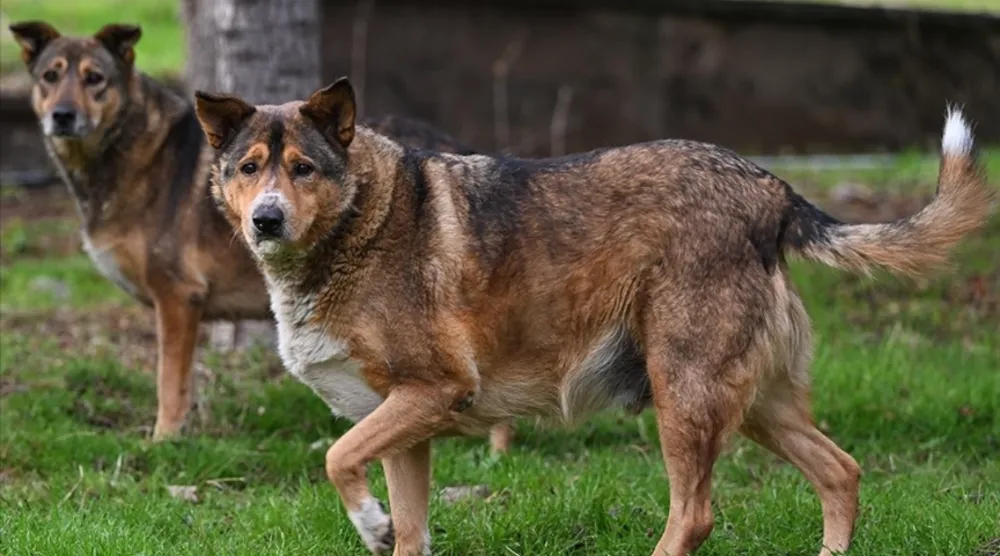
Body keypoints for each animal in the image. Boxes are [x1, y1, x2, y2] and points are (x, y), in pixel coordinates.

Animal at [11, 21, 516, 454]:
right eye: (50, 77)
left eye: (95, 78)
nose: (62, 116)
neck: (133, 151)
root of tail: (459, 147)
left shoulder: (178, 297)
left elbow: (169, 382)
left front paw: (164, 440)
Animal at [197, 78, 992, 556]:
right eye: (248, 169)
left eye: (303, 169)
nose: (266, 221)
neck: (360, 222)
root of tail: (773, 190)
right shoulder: (402, 426)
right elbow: (406, 527)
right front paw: (382, 524)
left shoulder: (431, 392)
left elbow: (336, 459)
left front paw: (368, 522)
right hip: (754, 402)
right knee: (841, 471)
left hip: (685, 393)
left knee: (695, 515)